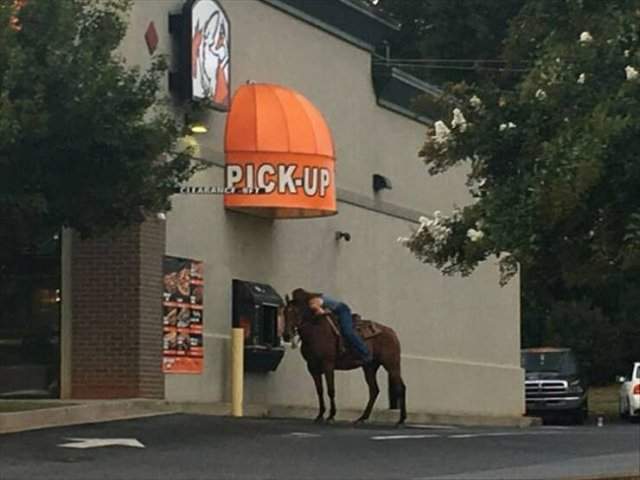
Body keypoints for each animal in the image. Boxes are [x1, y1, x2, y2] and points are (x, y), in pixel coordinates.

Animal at [282, 294, 408, 426]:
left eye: (296, 312)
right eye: (284, 312)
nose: (286, 335)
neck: (315, 332)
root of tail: (392, 333)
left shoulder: (328, 365)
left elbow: (331, 390)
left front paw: (331, 416)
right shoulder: (312, 367)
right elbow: (320, 391)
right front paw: (320, 415)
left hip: (391, 365)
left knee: (400, 387)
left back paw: (401, 420)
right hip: (369, 367)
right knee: (374, 390)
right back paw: (362, 418)